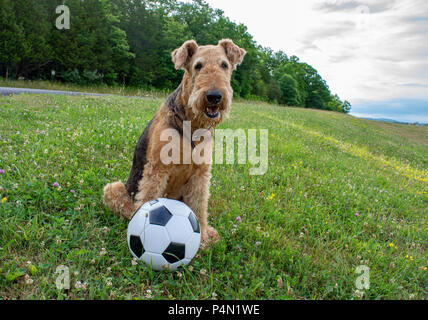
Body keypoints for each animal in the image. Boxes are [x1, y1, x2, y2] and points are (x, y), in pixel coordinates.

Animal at [101, 38, 246, 248]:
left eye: (224, 65)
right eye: (198, 66)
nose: (214, 96)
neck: (192, 125)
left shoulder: (200, 174)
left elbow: (199, 206)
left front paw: (203, 238)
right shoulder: (157, 168)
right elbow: (149, 198)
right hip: (114, 188)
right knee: (130, 206)